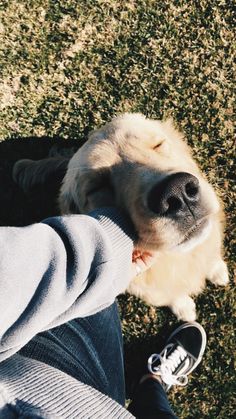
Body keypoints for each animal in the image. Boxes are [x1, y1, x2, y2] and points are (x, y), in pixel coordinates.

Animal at [13, 113, 229, 320]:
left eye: (158, 144)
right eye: (98, 186)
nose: (178, 194)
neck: (182, 259)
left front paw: (217, 270)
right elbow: (171, 296)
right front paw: (184, 308)